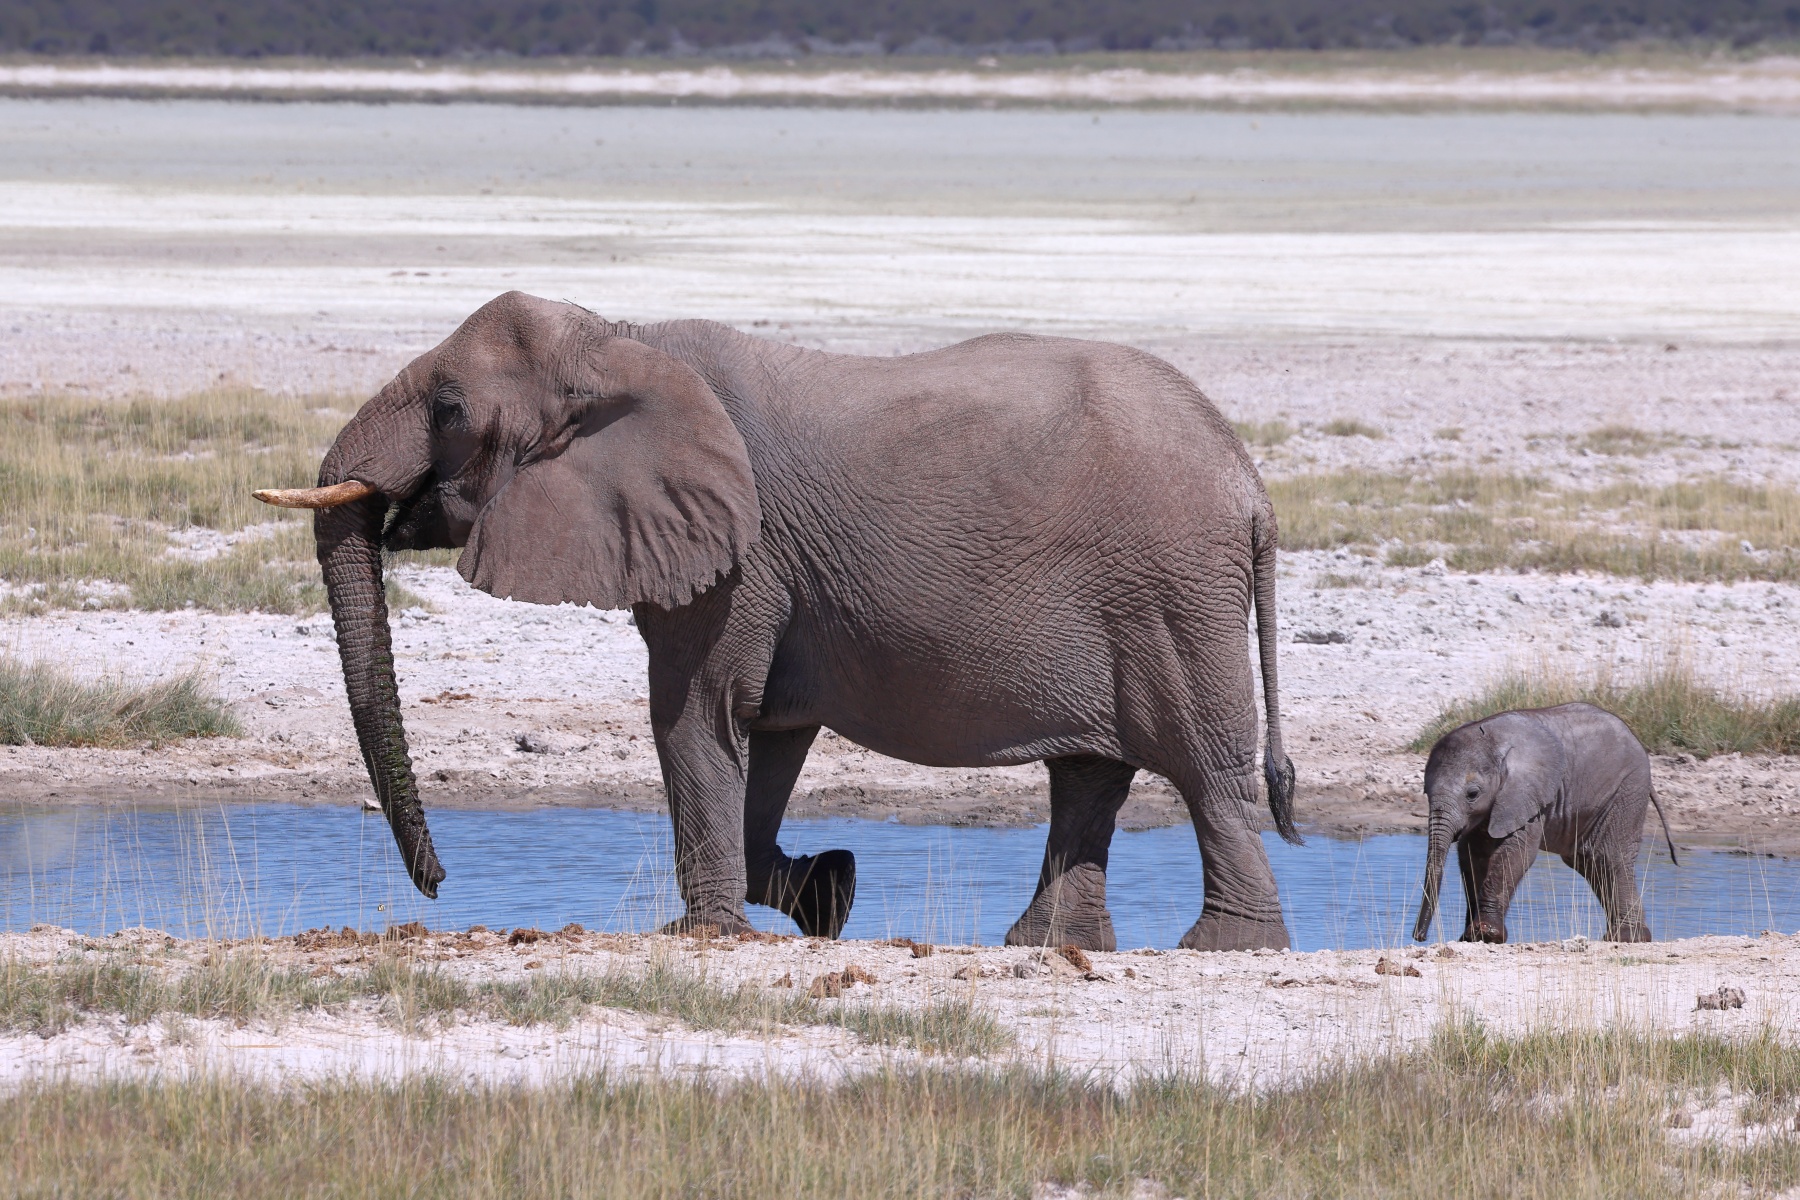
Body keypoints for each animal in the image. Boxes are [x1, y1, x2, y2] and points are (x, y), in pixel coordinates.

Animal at [255, 290, 1300, 952]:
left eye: (447, 408)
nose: (440, 887)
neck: (619, 337)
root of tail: (1251, 486)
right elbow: (772, 729)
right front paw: (826, 894)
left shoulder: (738, 551)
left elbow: (694, 714)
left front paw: (701, 934)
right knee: (1089, 776)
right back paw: (1041, 945)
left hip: (1172, 595)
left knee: (1204, 773)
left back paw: (1223, 947)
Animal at [1411, 702, 1678, 945]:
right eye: (1425, 792)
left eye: (1472, 794)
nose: (1419, 936)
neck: (1494, 744)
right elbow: (1472, 856)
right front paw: (1469, 938)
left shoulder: (1527, 795)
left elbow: (1517, 853)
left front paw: (1486, 935)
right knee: (1590, 862)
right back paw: (1627, 937)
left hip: (1627, 788)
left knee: (1609, 858)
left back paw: (1626, 938)